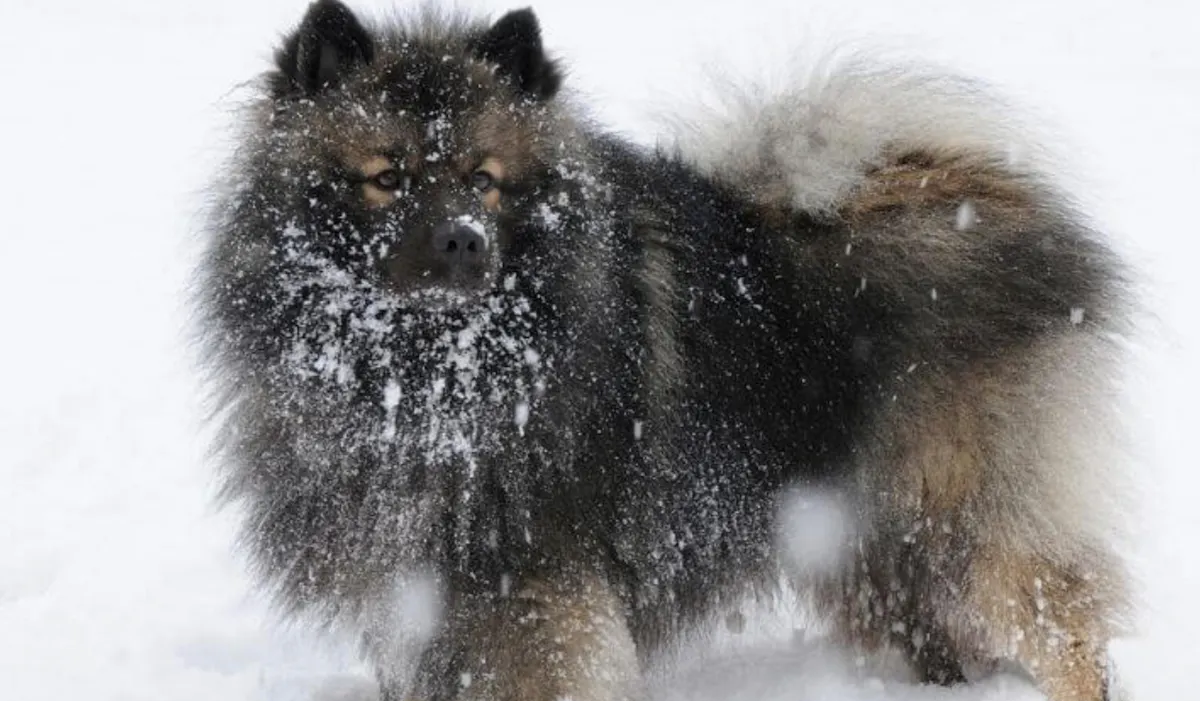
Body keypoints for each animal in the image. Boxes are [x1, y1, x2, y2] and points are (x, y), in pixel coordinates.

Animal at [196, 1, 1134, 700]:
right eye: (387, 177)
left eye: (484, 180)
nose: (464, 240)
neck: (427, 375)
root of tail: (970, 188)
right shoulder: (417, 595)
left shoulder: (531, 594)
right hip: (875, 548)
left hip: (970, 520)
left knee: (1064, 627)